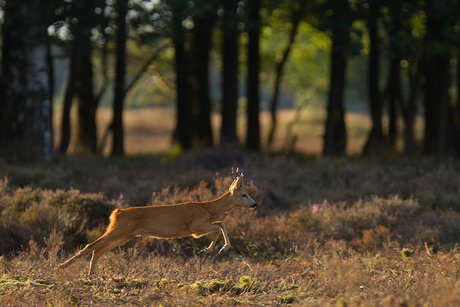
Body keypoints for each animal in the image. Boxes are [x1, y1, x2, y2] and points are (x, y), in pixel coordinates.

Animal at [56, 168, 255, 276]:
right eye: (244, 194)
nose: (255, 204)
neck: (209, 209)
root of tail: (116, 213)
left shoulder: (200, 227)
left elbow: (220, 224)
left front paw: (210, 250)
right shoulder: (195, 227)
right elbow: (220, 225)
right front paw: (217, 249)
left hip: (124, 236)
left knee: (97, 250)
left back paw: (90, 276)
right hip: (118, 230)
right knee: (90, 245)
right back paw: (60, 267)